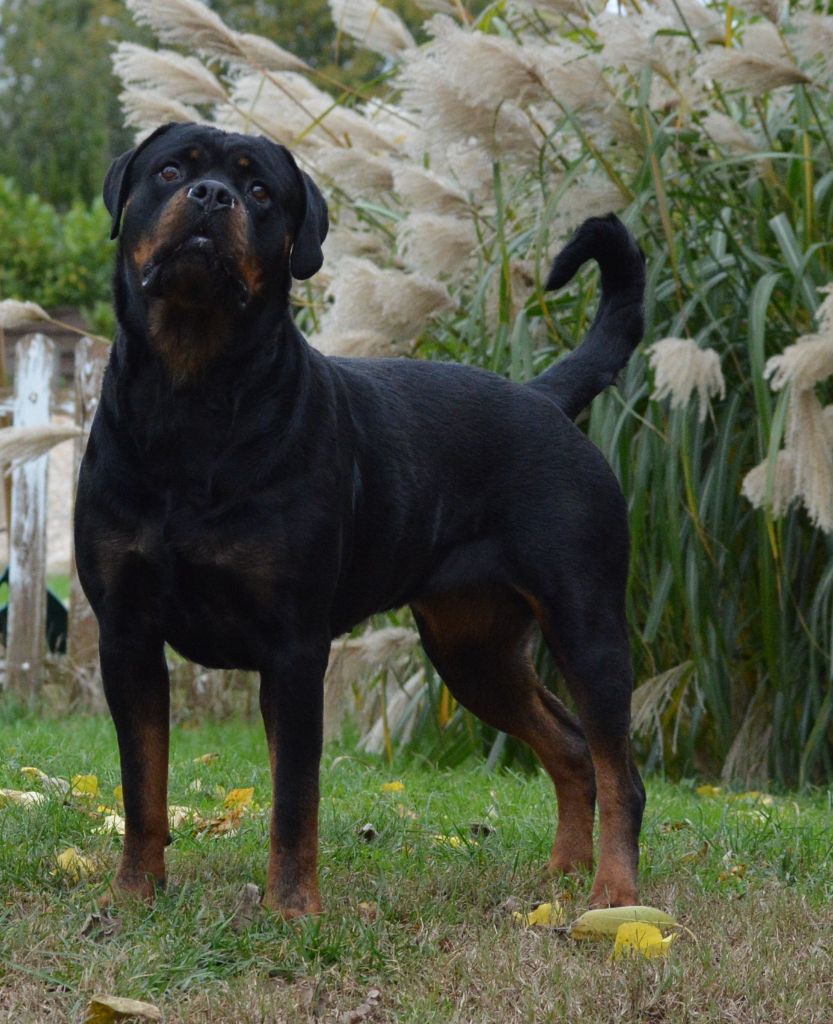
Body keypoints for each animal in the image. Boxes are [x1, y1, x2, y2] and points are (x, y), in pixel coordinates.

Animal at [74, 122, 647, 919]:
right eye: (167, 171)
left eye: (260, 190)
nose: (212, 195)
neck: (192, 396)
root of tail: (541, 396)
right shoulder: (127, 634)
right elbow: (143, 787)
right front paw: (134, 895)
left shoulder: (293, 645)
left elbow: (294, 799)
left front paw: (291, 910)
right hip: (472, 648)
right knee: (568, 746)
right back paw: (563, 874)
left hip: (586, 623)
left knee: (620, 769)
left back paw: (612, 895)